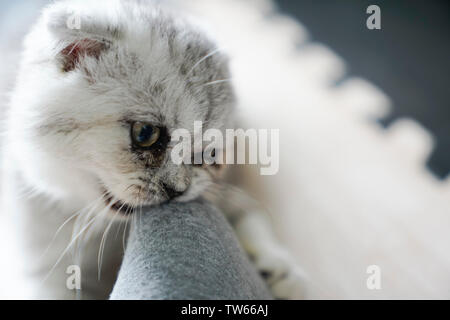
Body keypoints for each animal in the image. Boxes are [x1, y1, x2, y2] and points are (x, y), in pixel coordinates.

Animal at [1, 0, 306, 298]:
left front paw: (280, 268)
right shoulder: (45, 274)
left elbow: (251, 213)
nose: (178, 190)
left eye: (210, 154)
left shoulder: (229, 185)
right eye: (145, 133)